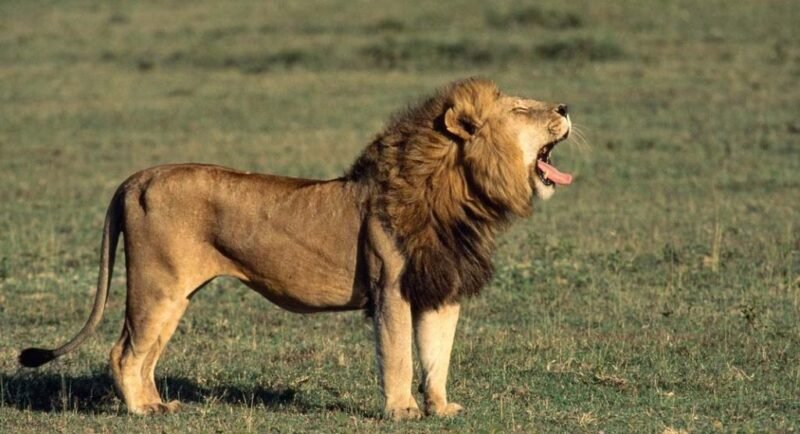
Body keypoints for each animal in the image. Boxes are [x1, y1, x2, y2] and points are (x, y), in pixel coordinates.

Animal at [19, 78, 573, 420]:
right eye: (522, 109)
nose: (567, 107)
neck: (461, 194)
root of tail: (137, 177)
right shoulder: (390, 288)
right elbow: (397, 354)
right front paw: (402, 411)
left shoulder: (440, 287)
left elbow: (438, 355)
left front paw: (440, 408)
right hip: (157, 286)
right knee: (123, 352)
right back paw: (141, 411)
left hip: (176, 293)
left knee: (146, 353)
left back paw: (160, 405)